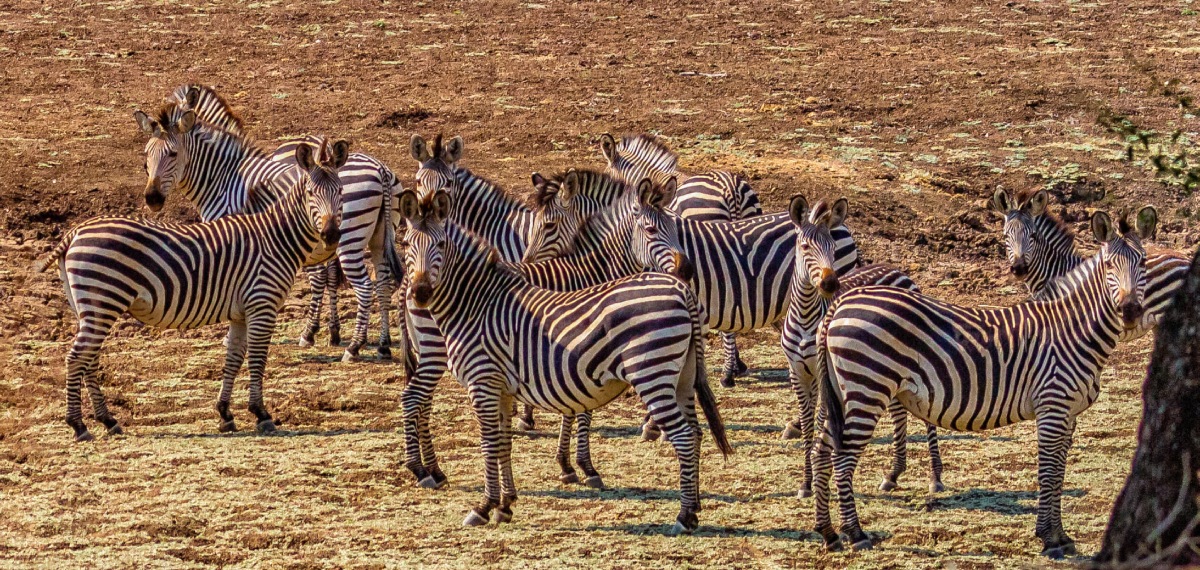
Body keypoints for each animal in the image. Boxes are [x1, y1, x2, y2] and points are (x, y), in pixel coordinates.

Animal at [39, 139, 348, 441]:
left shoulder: (241, 312)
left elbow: (234, 358)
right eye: (311, 193)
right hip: (102, 301)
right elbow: (258, 359)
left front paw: (225, 413)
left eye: (341, 191)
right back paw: (78, 425)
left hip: (89, 306)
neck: (277, 238)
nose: (331, 235)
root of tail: (76, 230)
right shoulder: (262, 304)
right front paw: (261, 414)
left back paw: (108, 420)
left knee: (89, 359)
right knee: (77, 357)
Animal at [150, 85, 401, 361]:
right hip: (380, 237)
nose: (152, 199)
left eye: (172, 154)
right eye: (147, 155)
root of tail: (380, 169)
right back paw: (383, 345)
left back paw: (354, 346)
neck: (225, 175)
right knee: (383, 283)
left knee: (365, 286)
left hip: (348, 239)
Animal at [398, 187, 732, 534]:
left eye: (440, 245)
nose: (421, 293)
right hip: (682, 377)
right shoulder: (502, 387)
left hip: (653, 374)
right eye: (406, 244)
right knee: (695, 433)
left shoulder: (485, 382)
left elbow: (494, 442)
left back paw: (684, 516)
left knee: (685, 436)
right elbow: (504, 442)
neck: (476, 302)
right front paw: (506, 504)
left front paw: (486, 506)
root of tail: (682, 291)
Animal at [779, 194, 943, 498]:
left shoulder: (822, 373)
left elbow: (821, 421)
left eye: (833, 248)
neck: (806, 316)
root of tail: (898, 270)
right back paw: (893, 474)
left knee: (925, 413)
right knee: (899, 412)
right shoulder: (797, 372)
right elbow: (807, 426)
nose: (831, 283)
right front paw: (806, 482)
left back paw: (935, 476)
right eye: (805, 247)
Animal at [811, 207, 1158, 557]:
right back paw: (855, 533)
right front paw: (1049, 539)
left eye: (1142, 262)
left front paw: (1061, 536)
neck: (1075, 330)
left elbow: (1059, 472)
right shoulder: (1052, 406)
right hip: (866, 389)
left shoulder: (1068, 413)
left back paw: (828, 533)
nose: (1130, 310)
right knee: (842, 457)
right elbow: (1048, 473)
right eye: (1109, 265)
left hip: (843, 393)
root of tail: (840, 304)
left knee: (821, 451)